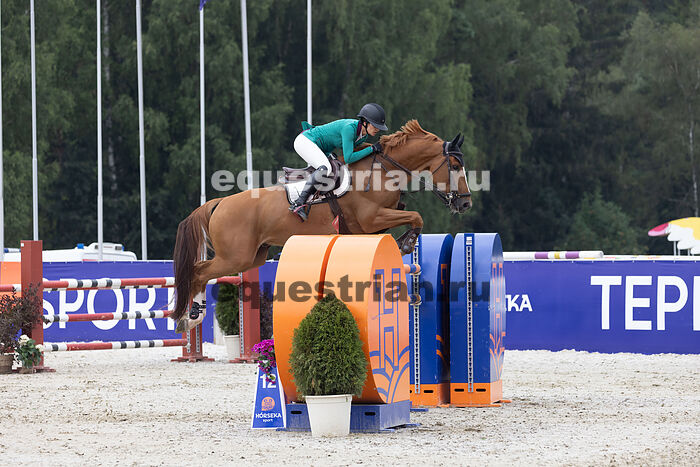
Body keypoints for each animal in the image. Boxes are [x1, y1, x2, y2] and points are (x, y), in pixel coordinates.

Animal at [171, 119, 472, 331]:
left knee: (202, 271)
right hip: (235, 257)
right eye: (455, 165)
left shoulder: (370, 228)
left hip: (252, 257)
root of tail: (220, 202)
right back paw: (192, 316)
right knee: (198, 271)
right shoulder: (372, 218)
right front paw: (407, 243)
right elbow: (417, 216)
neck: (382, 172)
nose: (465, 204)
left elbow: (409, 219)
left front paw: (404, 246)